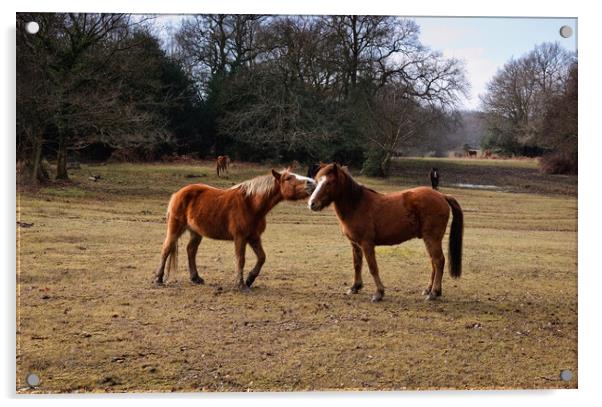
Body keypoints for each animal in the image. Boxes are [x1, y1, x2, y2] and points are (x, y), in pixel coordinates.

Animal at [154, 169, 314, 290]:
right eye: (288, 178)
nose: (312, 182)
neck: (251, 204)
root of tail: (178, 194)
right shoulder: (240, 237)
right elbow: (240, 259)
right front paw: (240, 284)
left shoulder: (254, 237)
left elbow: (262, 257)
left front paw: (250, 279)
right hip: (175, 229)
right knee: (166, 249)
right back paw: (158, 278)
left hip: (196, 232)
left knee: (191, 250)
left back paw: (196, 278)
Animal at [308, 163, 462, 302]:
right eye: (317, 180)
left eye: (329, 182)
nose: (312, 203)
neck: (357, 205)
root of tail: (441, 195)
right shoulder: (355, 244)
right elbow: (357, 264)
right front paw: (355, 287)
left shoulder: (367, 244)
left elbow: (373, 267)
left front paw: (379, 293)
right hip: (428, 239)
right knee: (433, 262)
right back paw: (429, 290)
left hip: (432, 238)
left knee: (439, 261)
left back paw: (434, 293)